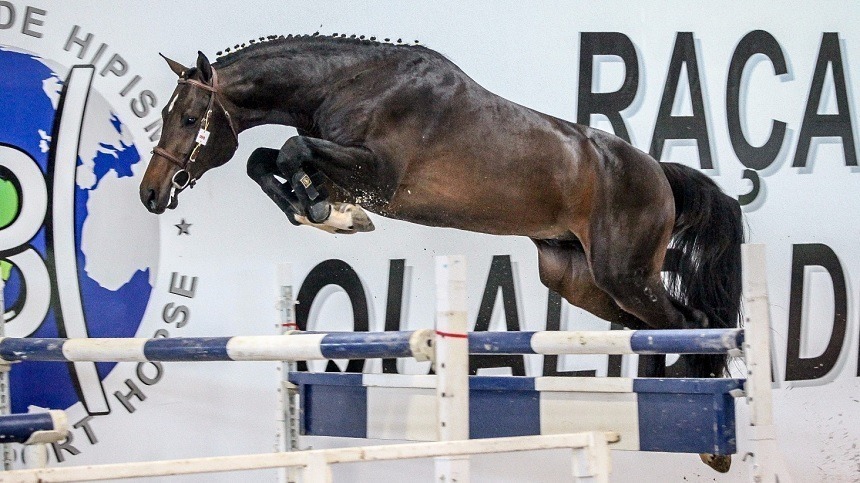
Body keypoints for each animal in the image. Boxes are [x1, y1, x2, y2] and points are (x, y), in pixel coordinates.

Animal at [138, 34, 744, 468]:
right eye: (167, 116)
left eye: (189, 119)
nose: (151, 193)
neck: (349, 84)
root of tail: (658, 171)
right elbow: (266, 160)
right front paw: (320, 211)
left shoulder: (378, 172)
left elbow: (289, 148)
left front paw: (332, 214)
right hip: (579, 278)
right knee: (654, 326)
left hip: (624, 271)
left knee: (688, 321)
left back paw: (707, 436)